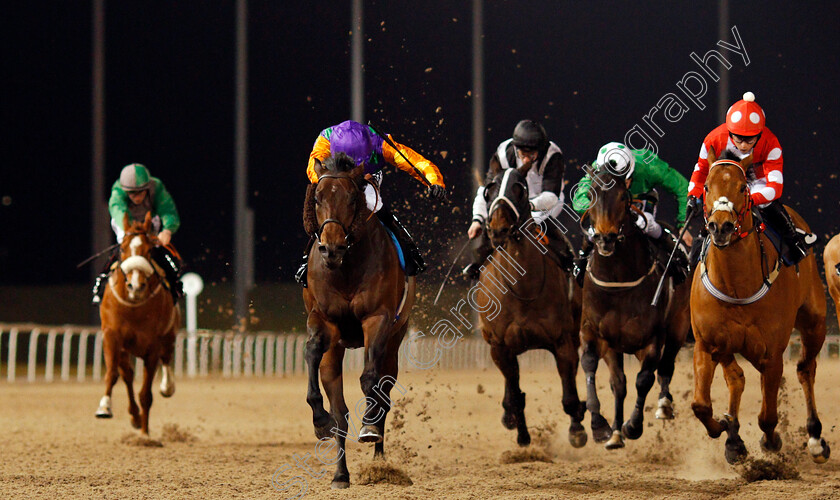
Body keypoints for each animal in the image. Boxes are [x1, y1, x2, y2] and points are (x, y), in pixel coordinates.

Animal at [96, 212, 180, 438]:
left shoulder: (153, 345)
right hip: (125, 348)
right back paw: (133, 415)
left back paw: (167, 387)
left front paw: (145, 434)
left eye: (150, 249)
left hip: (169, 334)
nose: (135, 285)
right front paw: (105, 407)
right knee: (126, 374)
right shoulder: (112, 336)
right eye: (122, 248)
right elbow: (112, 374)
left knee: (167, 359)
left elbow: (146, 394)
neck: (134, 307)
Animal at [306, 152, 416, 488]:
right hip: (336, 350)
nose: (331, 247)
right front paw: (319, 419)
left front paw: (369, 427)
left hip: (395, 340)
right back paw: (341, 474)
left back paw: (379, 454)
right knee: (340, 411)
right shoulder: (324, 320)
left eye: (353, 198)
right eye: (317, 198)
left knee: (384, 388)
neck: (346, 268)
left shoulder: (377, 319)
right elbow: (311, 352)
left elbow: (370, 379)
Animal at [476, 168, 588, 450]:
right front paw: (523, 437)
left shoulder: (562, 342)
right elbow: (516, 396)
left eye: (520, 187)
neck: (522, 289)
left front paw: (578, 428)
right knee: (511, 384)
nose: (498, 228)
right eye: (489, 189)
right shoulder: (499, 347)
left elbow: (570, 395)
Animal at [576, 170, 688, 452]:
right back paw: (616, 431)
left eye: (623, 197)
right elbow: (596, 369)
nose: (605, 238)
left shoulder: (652, 338)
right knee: (620, 384)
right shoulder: (595, 333)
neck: (618, 283)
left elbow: (644, 379)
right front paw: (602, 426)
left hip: (678, 326)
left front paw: (633, 425)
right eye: (590, 195)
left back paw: (664, 405)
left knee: (666, 367)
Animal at [688, 156, 828, 464]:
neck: (737, 285)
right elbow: (701, 405)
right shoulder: (706, 343)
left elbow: (768, 417)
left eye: (743, 187)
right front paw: (726, 430)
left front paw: (771, 441)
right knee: (737, 379)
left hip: (815, 322)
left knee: (805, 369)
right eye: (706, 186)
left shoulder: (772, 354)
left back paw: (815, 438)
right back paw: (733, 438)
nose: (721, 227)